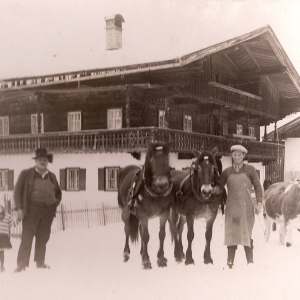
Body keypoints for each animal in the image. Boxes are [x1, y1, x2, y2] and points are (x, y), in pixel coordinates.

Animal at [117, 141, 173, 270]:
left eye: (167, 158)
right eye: (151, 159)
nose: (162, 183)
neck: (156, 194)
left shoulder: (164, 213)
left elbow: (161, 234)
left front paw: (161, 258)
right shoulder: (144, 215)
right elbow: (146, 236)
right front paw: (146, 261)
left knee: (140, 229)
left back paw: (142, 252)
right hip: (125, 212)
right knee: (127, 229)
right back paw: (126, 253)